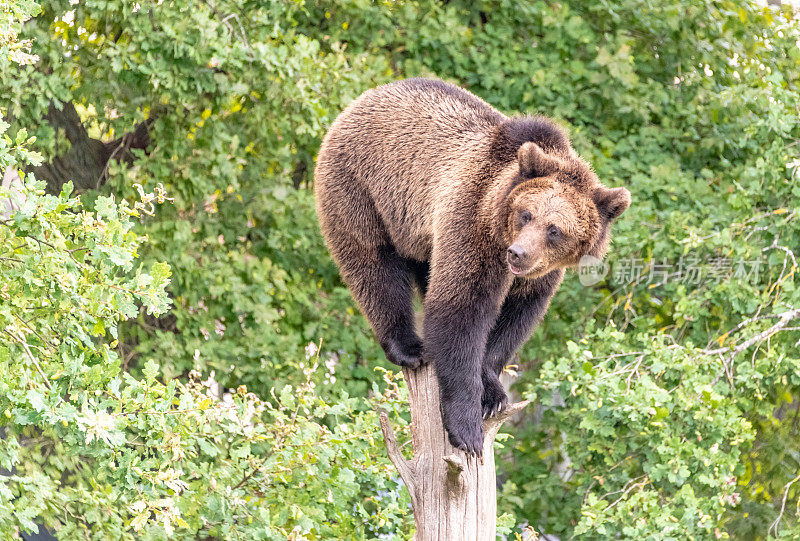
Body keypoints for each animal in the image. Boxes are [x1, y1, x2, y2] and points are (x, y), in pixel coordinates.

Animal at [312, 78, 632, 454]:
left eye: (555, 229)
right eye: (526, 214)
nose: (518, 254)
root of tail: (363, 99)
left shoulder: (540, 275)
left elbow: (514, 318)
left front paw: (492, 393)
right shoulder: (473, 225)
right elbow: (460, 310)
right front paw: (466, 429)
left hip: (419, 234)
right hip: (363, 189)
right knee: (373, 265)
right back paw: (408, 347)